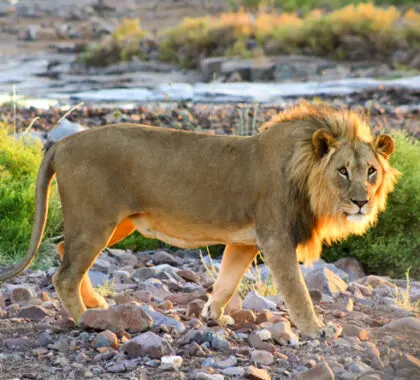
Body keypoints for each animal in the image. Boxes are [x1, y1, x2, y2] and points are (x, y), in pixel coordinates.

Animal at [0, 101, 398, 338]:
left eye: (371, 172)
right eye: (343, 171)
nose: (362, 202)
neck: (306, 174)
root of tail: (61, 144)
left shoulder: (245, 241)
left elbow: (227, 282)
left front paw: (213, 316)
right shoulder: (275, 238)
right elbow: (297, 290)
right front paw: (315, 329)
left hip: (116, 224)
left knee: (65, 252)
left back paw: (97, 305)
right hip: (97, 221)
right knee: (64, 274)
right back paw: (84, 319)